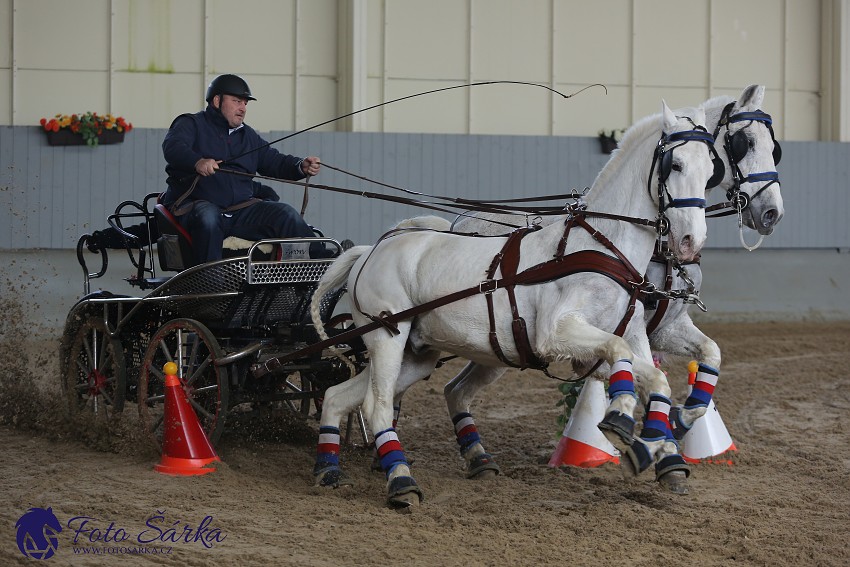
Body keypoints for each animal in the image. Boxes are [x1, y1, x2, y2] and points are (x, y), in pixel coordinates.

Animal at [308, 103, 712, 510]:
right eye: (676, 165)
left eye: (711, 169)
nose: (690, 242)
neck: (602, 246)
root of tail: (369, 251)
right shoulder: (558, 332)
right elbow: (620, 354)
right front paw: (622, 416)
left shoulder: (631, 332)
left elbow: (656, 377)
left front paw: (655, 446)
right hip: (386, 337)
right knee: (376, 407)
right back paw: (401, 481)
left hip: (416, 354)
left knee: (339, 397)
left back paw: (328, 470)